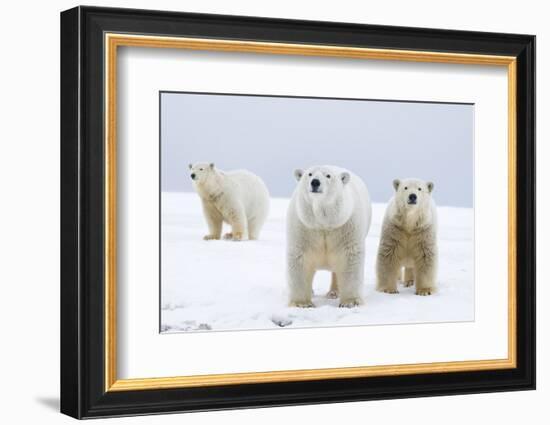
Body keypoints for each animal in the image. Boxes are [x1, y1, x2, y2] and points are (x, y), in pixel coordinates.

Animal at [286, 164, 374, 306]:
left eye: (328, 175)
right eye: (310, 174)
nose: (315, 182)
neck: (324, 223)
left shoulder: (345, 225)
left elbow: (349, 257)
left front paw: (350, 302)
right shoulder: (304, 226)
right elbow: (300, 257)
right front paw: (302, 303)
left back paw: (334, 292)